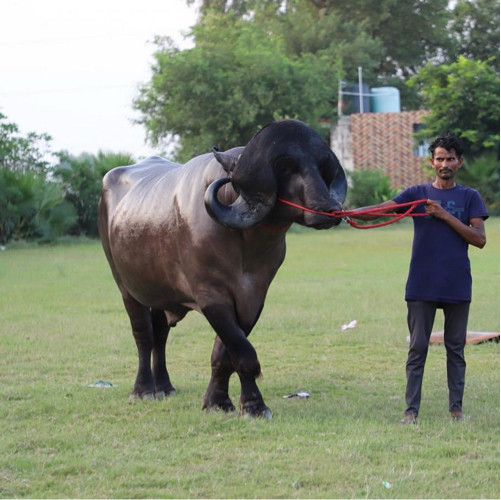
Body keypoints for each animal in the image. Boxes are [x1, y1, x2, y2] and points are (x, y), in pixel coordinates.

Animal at [98, 119, 348, 416]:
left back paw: (165, 387)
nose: (328, 208)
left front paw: (218, 401)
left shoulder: (253, 298)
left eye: (320, 167)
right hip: (124, 285)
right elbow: (244, 352)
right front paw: (254, 406)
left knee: (160, 335)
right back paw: (144, 390)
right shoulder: (211, 296)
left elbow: (225, 354)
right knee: (143, 335)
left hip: (160, 290)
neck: (245, 244)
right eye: (285, 168)